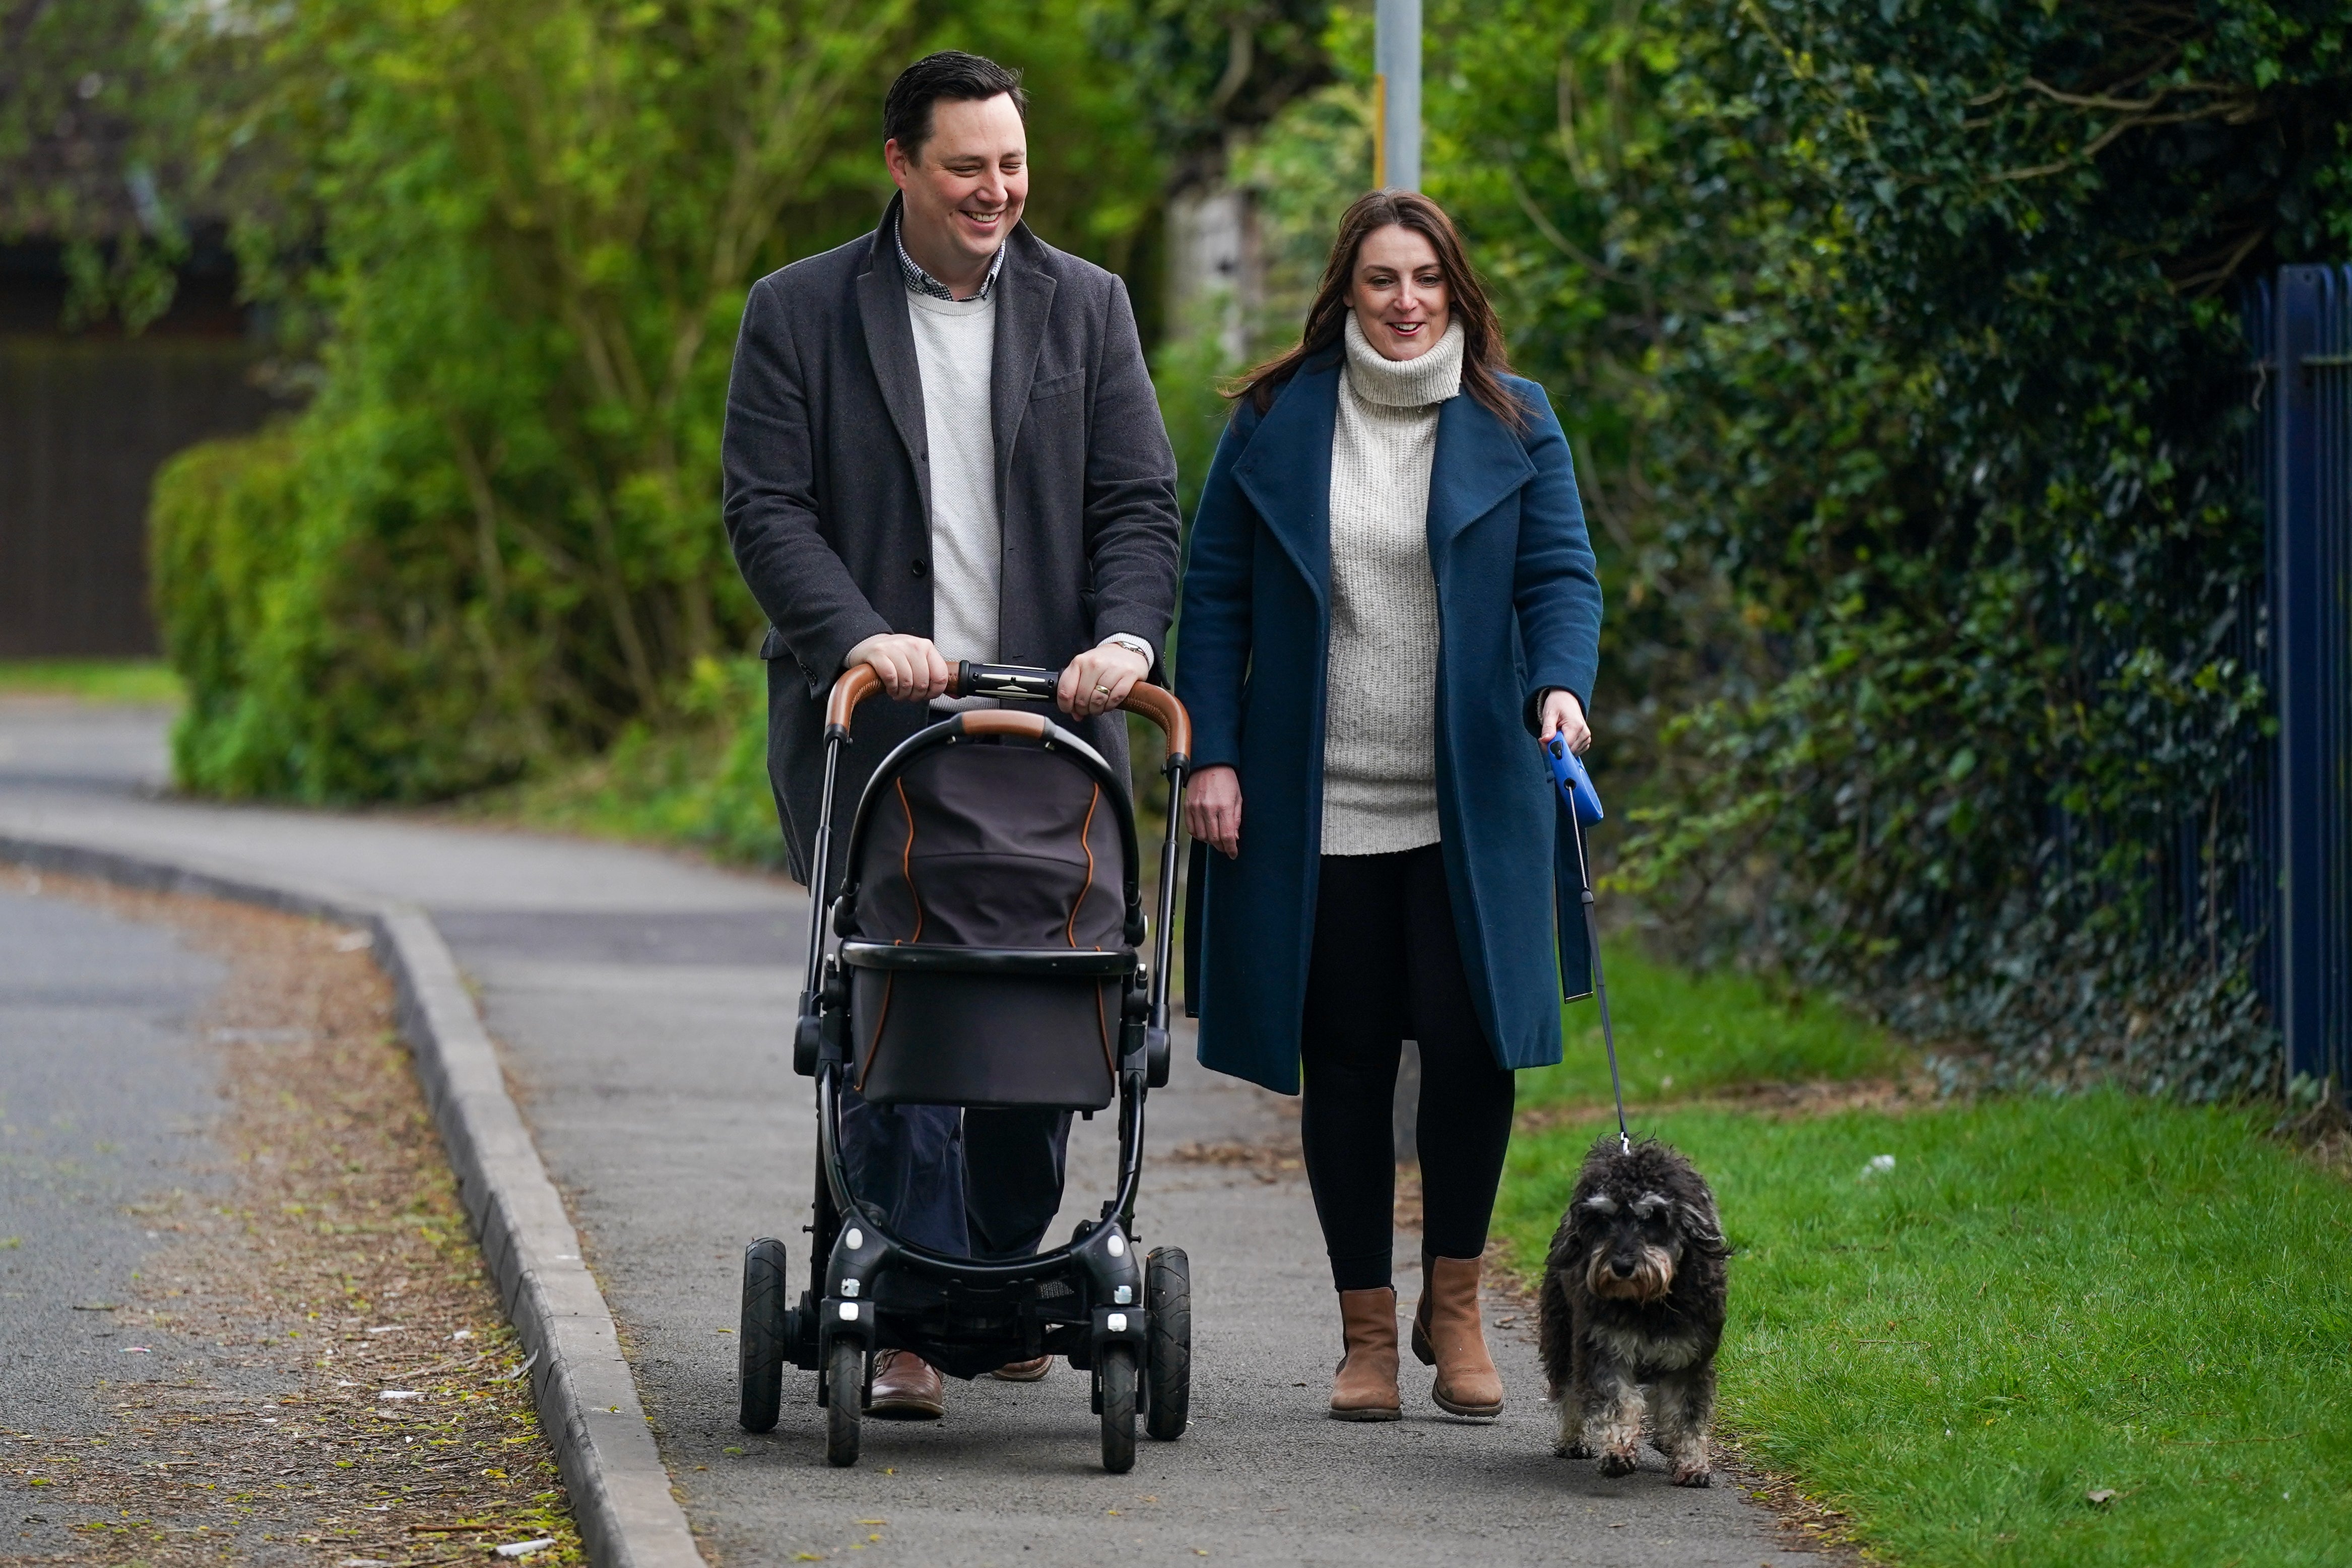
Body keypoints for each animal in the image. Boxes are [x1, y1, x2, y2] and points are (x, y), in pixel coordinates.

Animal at [1533, 1133, 1740, 1495]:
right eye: (1603, 1219)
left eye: (1653, 1217)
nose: (1622, 1266)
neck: (1649, 1302)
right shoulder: (1605, 1349)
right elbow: (1619, 1402)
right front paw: (1618, 1451)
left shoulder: (1690, 1358)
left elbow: (1687, 1414)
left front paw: (1692, 1464)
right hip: (1561, 1335)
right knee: (1569, 1389)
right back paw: (1573, 1440)